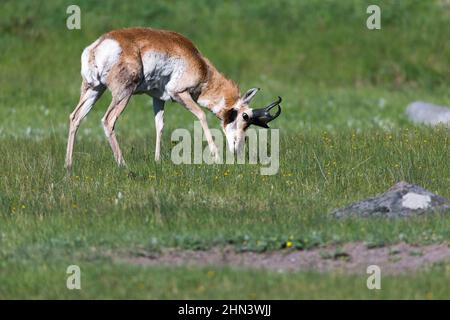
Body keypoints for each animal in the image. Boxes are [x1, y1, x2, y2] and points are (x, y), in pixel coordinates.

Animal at [65, 27, 282, 169]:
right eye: (245, 117)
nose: (237, 150)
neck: (200, 63)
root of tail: (99, 46)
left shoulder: (158, 98)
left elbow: (159, 125)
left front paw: (157, 160)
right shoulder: (180, 93)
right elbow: (201, 115)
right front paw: (216, 157)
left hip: (94, 89)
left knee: (75, 117)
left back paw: (68, 166)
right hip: (122, 93)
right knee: (108, 120)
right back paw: (123, 165)